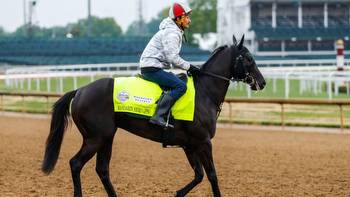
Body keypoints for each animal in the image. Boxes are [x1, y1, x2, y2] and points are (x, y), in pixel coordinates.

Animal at [41, 35, 266, 197]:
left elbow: (199, 175)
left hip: (106, 137)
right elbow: (211, 175)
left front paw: (177, 193)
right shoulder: (203, 142)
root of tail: (79, 90)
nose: (262, 82)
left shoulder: (189, 144)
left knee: (102, 169)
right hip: (95, 138)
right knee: (76, 163)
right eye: (249, 58)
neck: (204, 92)